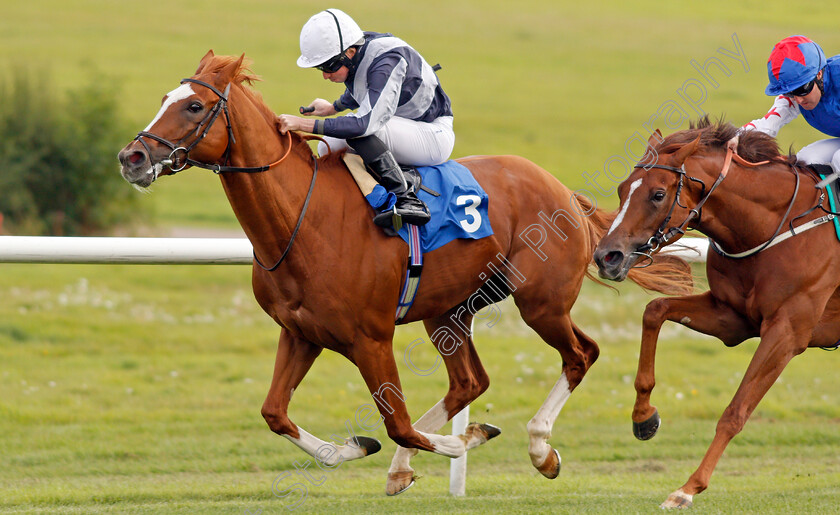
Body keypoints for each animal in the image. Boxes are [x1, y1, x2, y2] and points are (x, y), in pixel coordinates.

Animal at [120, 51, 696, 496]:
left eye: (194, 105)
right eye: (166, 97)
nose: (132, 156)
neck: (302, 219)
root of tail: (565, 194)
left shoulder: (371, 338)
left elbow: (397, 424)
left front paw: (462, 441)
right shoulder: (301, 332)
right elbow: (275, 412)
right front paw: (354, 448)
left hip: (541, 303)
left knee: (580, 354)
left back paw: (541, 450)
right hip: (449, 311)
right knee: (469, 381)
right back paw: (411, 467)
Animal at [592, 119, 840, 510]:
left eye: (658, 194)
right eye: (621, 190)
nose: (607, 257)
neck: (774, 227)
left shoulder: (787, 332)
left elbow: (735, 411)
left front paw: (687, 489)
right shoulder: (732, 319)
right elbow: (654, 310)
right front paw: (644, 418)